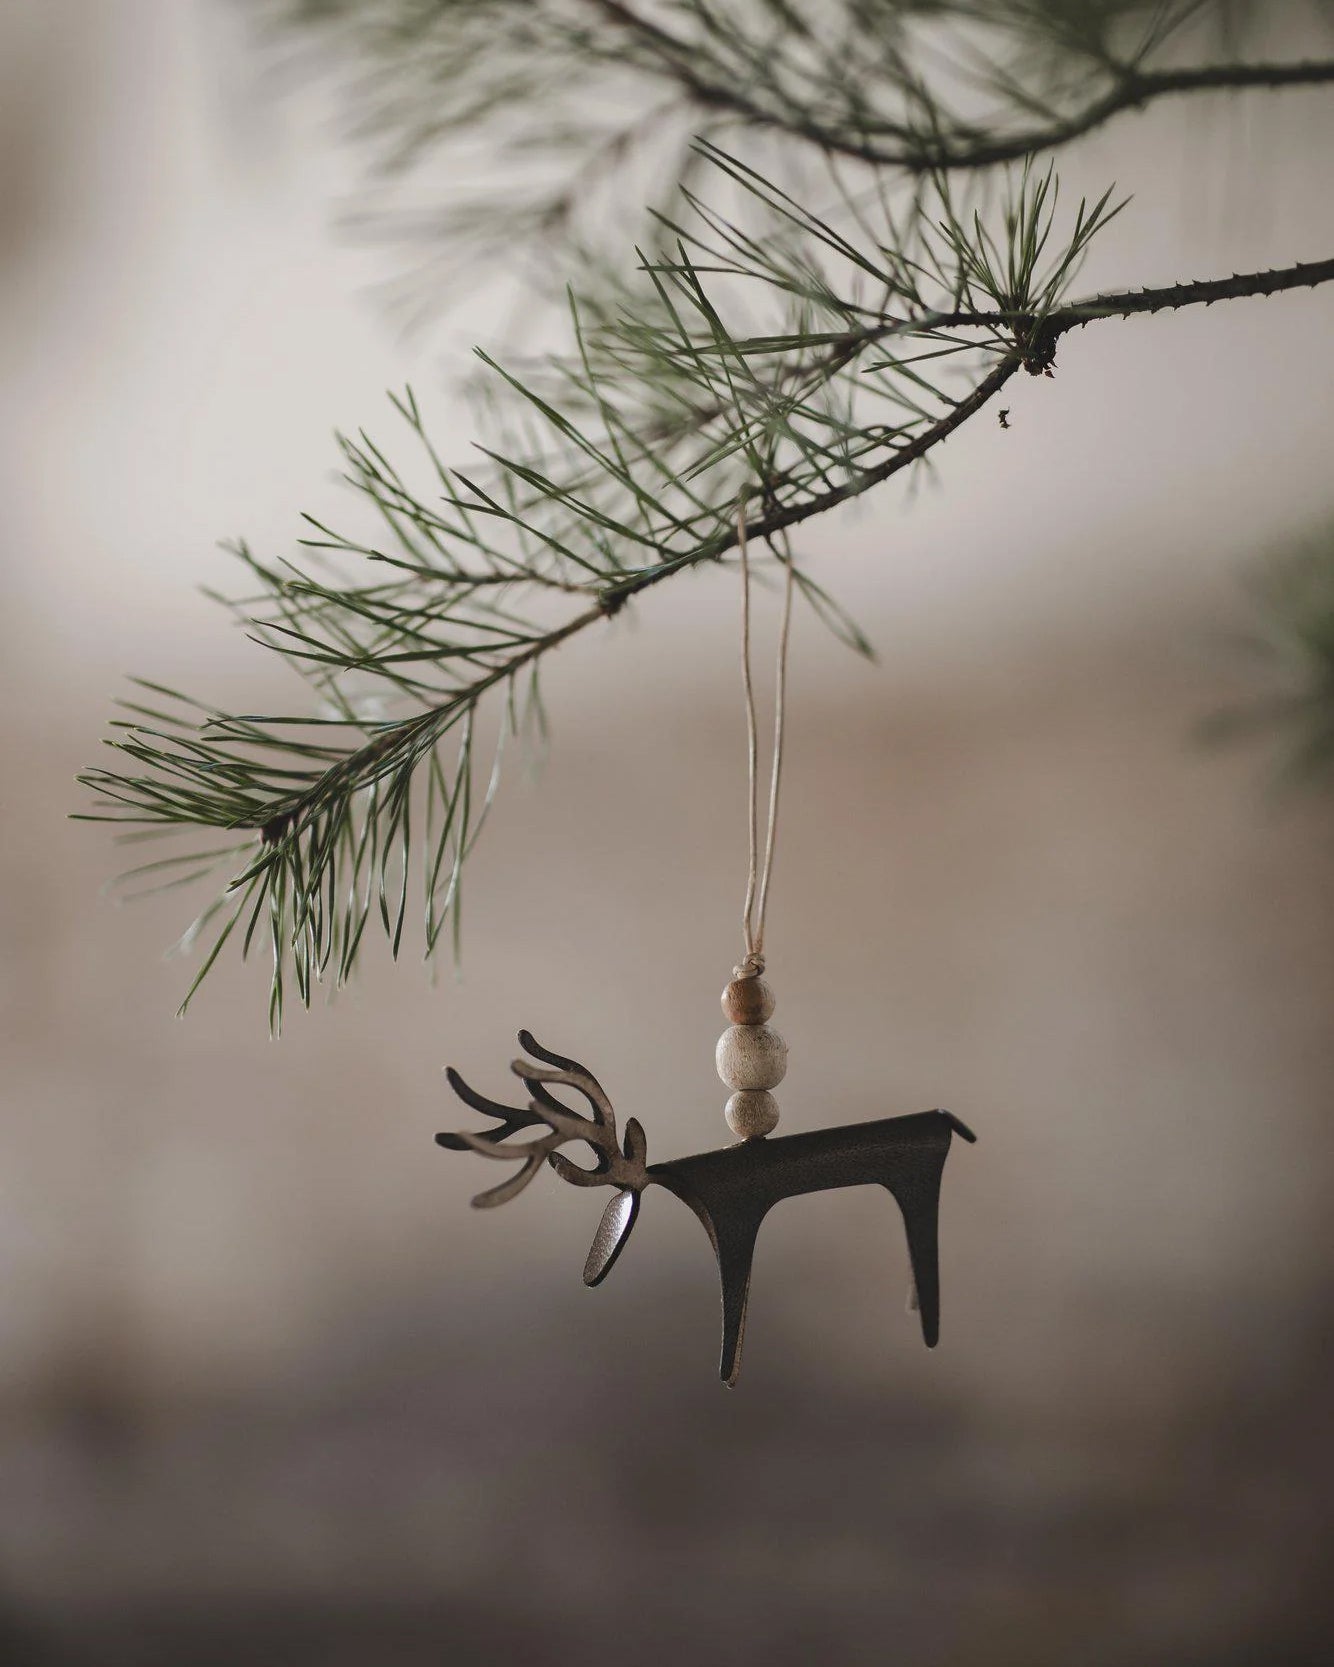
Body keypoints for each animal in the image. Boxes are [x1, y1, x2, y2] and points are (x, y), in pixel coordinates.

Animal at [436, 1032, 976, 1386]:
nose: (589, 1278)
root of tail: (948, 1120)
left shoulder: (734, 1217)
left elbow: (733, 1305)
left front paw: (726, 1371)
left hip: (918, 1180)